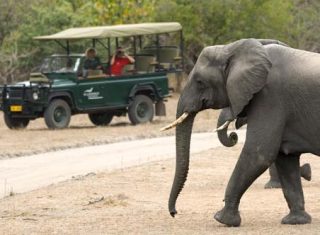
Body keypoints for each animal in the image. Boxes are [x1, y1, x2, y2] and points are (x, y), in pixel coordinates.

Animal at [164, 38, 320, 226]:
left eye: (200, 82)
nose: (174, 213)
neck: (232, 48)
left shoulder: (270, 97)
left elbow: (259, 153)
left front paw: (222, 219)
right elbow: (284, 157)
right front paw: (295, 221)